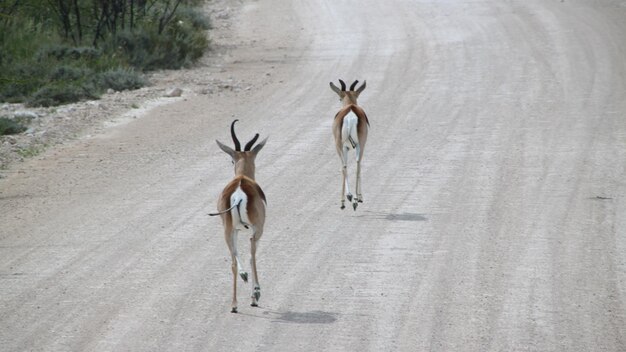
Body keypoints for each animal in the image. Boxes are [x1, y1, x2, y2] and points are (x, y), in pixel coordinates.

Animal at [210, 119, 266, 312]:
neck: (243, 176)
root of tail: (239, 192)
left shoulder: (235, 229)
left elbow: (236, 254)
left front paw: (244, 275)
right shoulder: (256, 229)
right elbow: (250, 256)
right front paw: (254, 292)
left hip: (227, 229)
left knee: (233, 262)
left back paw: (234, 304)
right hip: (256, 230)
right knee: (252, 253)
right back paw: (255, 295)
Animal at [330, 78, 368, 210]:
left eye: (339, 98)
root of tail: (351, 113)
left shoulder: (345, 147)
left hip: (340, 146)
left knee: (345, 166)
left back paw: (347, 200)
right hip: (359, 145)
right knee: (357, 164)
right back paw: (355, 199)